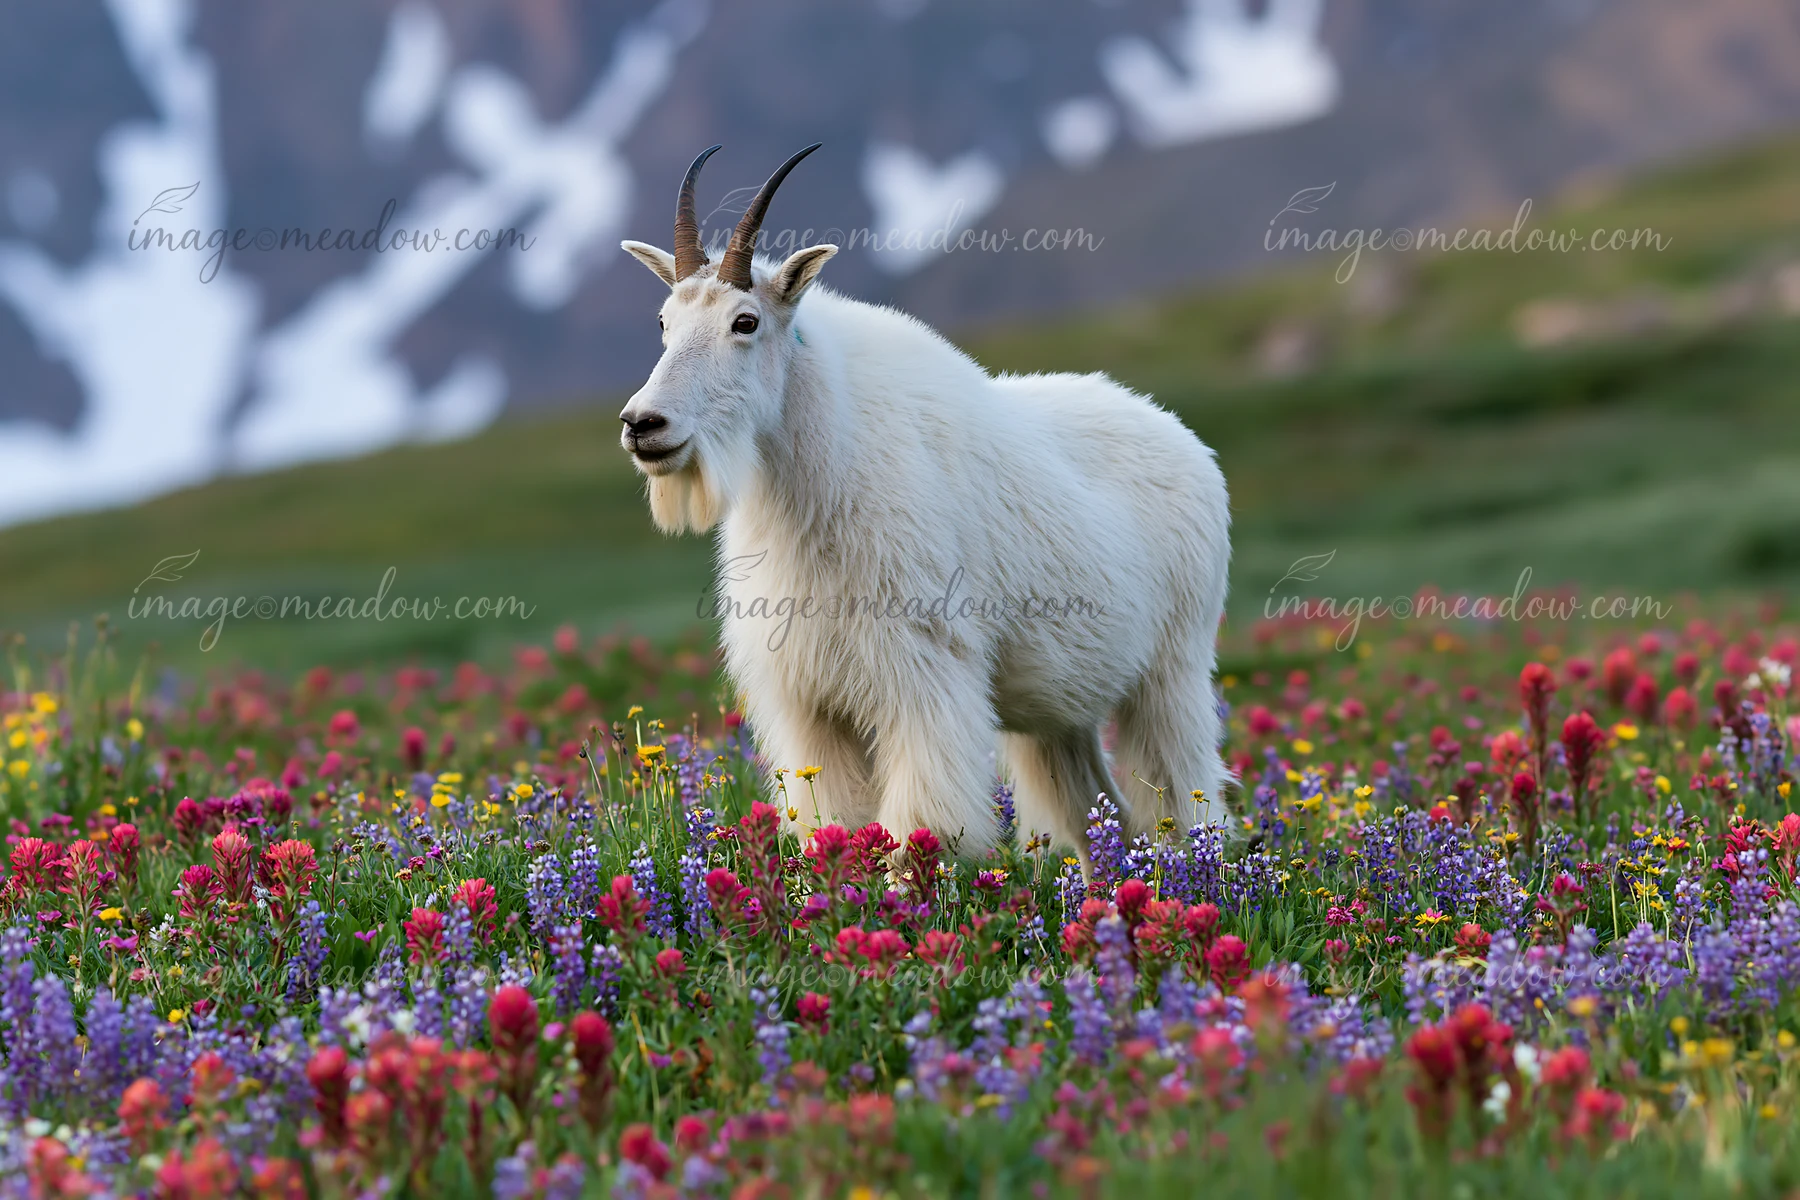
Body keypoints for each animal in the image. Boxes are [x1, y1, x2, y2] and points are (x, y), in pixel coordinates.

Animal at [618, 144, 1232, 861]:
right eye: (665, 321)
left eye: (745, 322)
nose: (644, 424)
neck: (812, 487)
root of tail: (1184, 439)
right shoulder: (810, 699)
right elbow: (836, 820)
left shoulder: (922, 669)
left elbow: (922, 824)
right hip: (1059, 712)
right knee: (1092, 810)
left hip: (1171, 669)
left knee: (1180, 793)